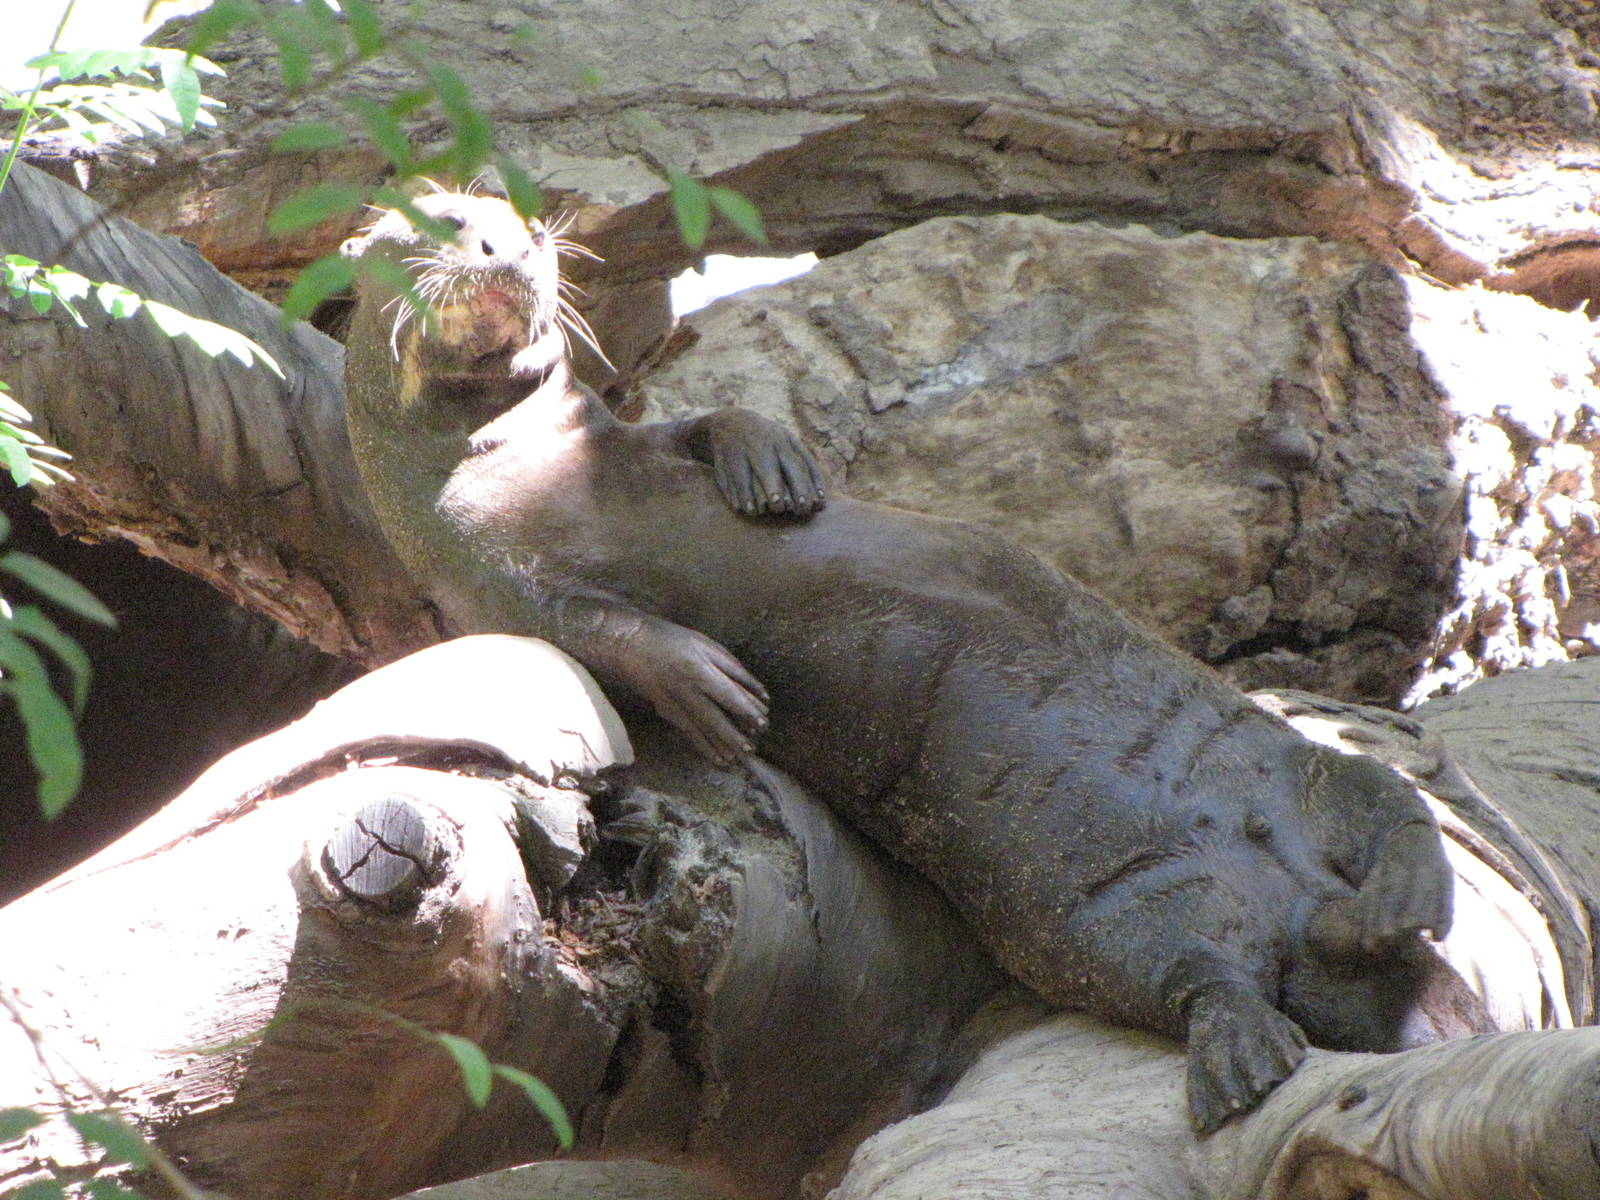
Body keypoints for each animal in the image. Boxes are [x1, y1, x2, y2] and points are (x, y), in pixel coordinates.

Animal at [342, 194, 1465, 1132]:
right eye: (430, 220)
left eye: (515, 214)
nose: (505, 244)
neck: (546, 475)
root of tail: (1305, 912)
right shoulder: (480, 580)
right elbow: (597, 631)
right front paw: (713, 688)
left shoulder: (618, 436)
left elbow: (706, 420)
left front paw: (772, 465)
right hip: (1101, 924)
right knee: (1200, 972)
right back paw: (1252, 1043)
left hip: (1288, 769)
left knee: (1382, 798)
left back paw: (1404, 896)